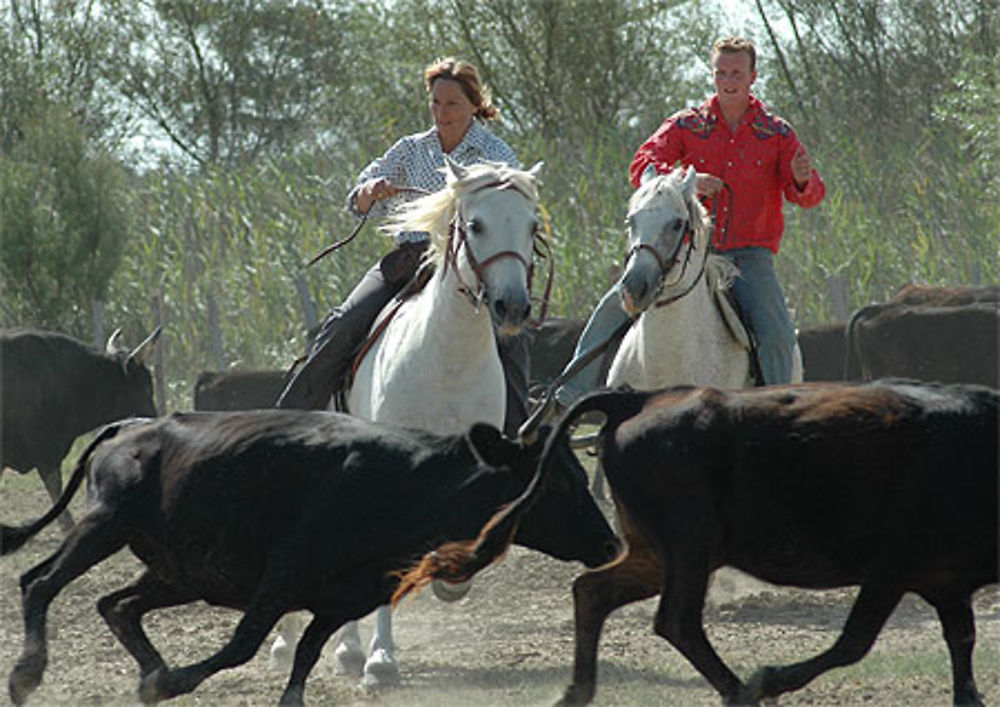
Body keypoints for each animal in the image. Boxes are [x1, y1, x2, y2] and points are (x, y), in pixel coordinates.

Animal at [1, 412, 616, 704]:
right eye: (558, 483)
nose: (611, 545)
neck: (404, 484)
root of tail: (134, 425)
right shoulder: (281, 578)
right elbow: (242, 645)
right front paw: (172, 682)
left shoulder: (340, 602)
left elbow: (302, 665)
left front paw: (162, 681)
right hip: (105, 525)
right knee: (40, 582)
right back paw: (29, 674)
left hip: (178, 573)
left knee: (117, 606)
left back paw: (146, 671)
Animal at [270, 159, 544, 684]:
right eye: (475, 224)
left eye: (531, 226)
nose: (513, 306)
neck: (445, 359)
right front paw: (381, 661)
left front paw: (449, 586)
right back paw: (322, 646)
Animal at [400, 382, 1000, 707]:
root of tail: (640, 399)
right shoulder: (890, 569)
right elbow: (853, 642)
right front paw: (768, 679)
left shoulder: (949, 582)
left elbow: (962, 642)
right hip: (693, 544)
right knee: (678, 621)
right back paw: (737, 688)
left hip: (654, 552)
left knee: (592, 591)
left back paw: (576, 690)